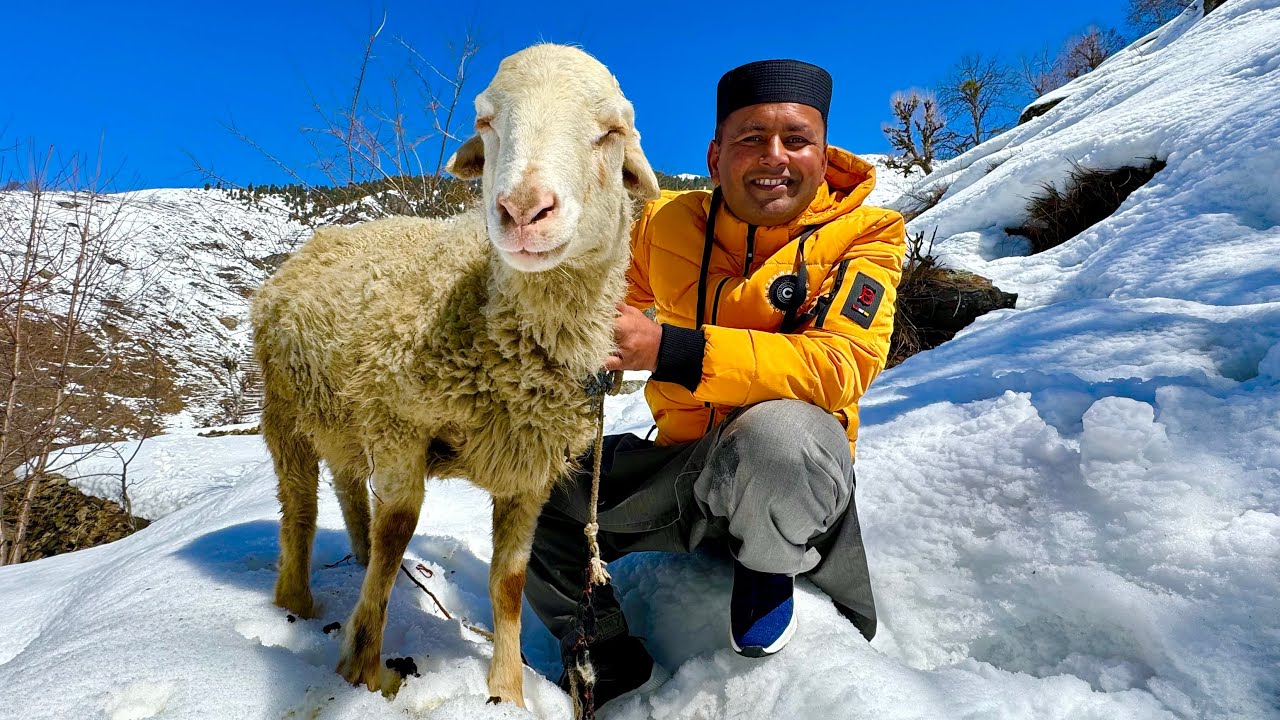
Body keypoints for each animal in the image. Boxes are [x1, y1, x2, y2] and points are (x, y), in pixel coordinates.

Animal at [250, 43, 660, 707]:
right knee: (302, 510)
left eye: (612, 131)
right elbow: (398, 528)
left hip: (342, 416)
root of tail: (319, 242)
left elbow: (509, 582)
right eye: (486, 121)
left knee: (348, 493)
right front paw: (366, 672)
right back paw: (297, 604)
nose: (522, 210)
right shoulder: (397, 424)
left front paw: (508, 693)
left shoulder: (530, 466)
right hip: (285, 409)